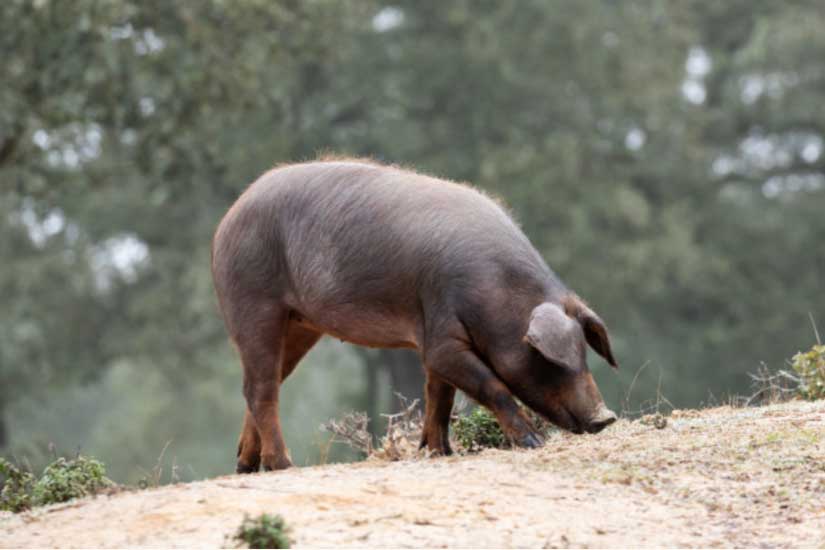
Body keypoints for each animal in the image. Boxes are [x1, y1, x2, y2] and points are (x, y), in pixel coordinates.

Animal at [212, 158, 616, 474]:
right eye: (548, 358)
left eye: (584, 352)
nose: (605, 416)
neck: (497, 293)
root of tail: (228, 217)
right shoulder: (442, 338)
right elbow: (490, 385)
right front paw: (534, 442)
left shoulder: (436, 339)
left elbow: (440, 396)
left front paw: (439, 452)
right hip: (253, 301)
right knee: (261, 388)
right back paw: (283, 465)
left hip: (299, 324)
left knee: (267, 382)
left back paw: (247, 466)